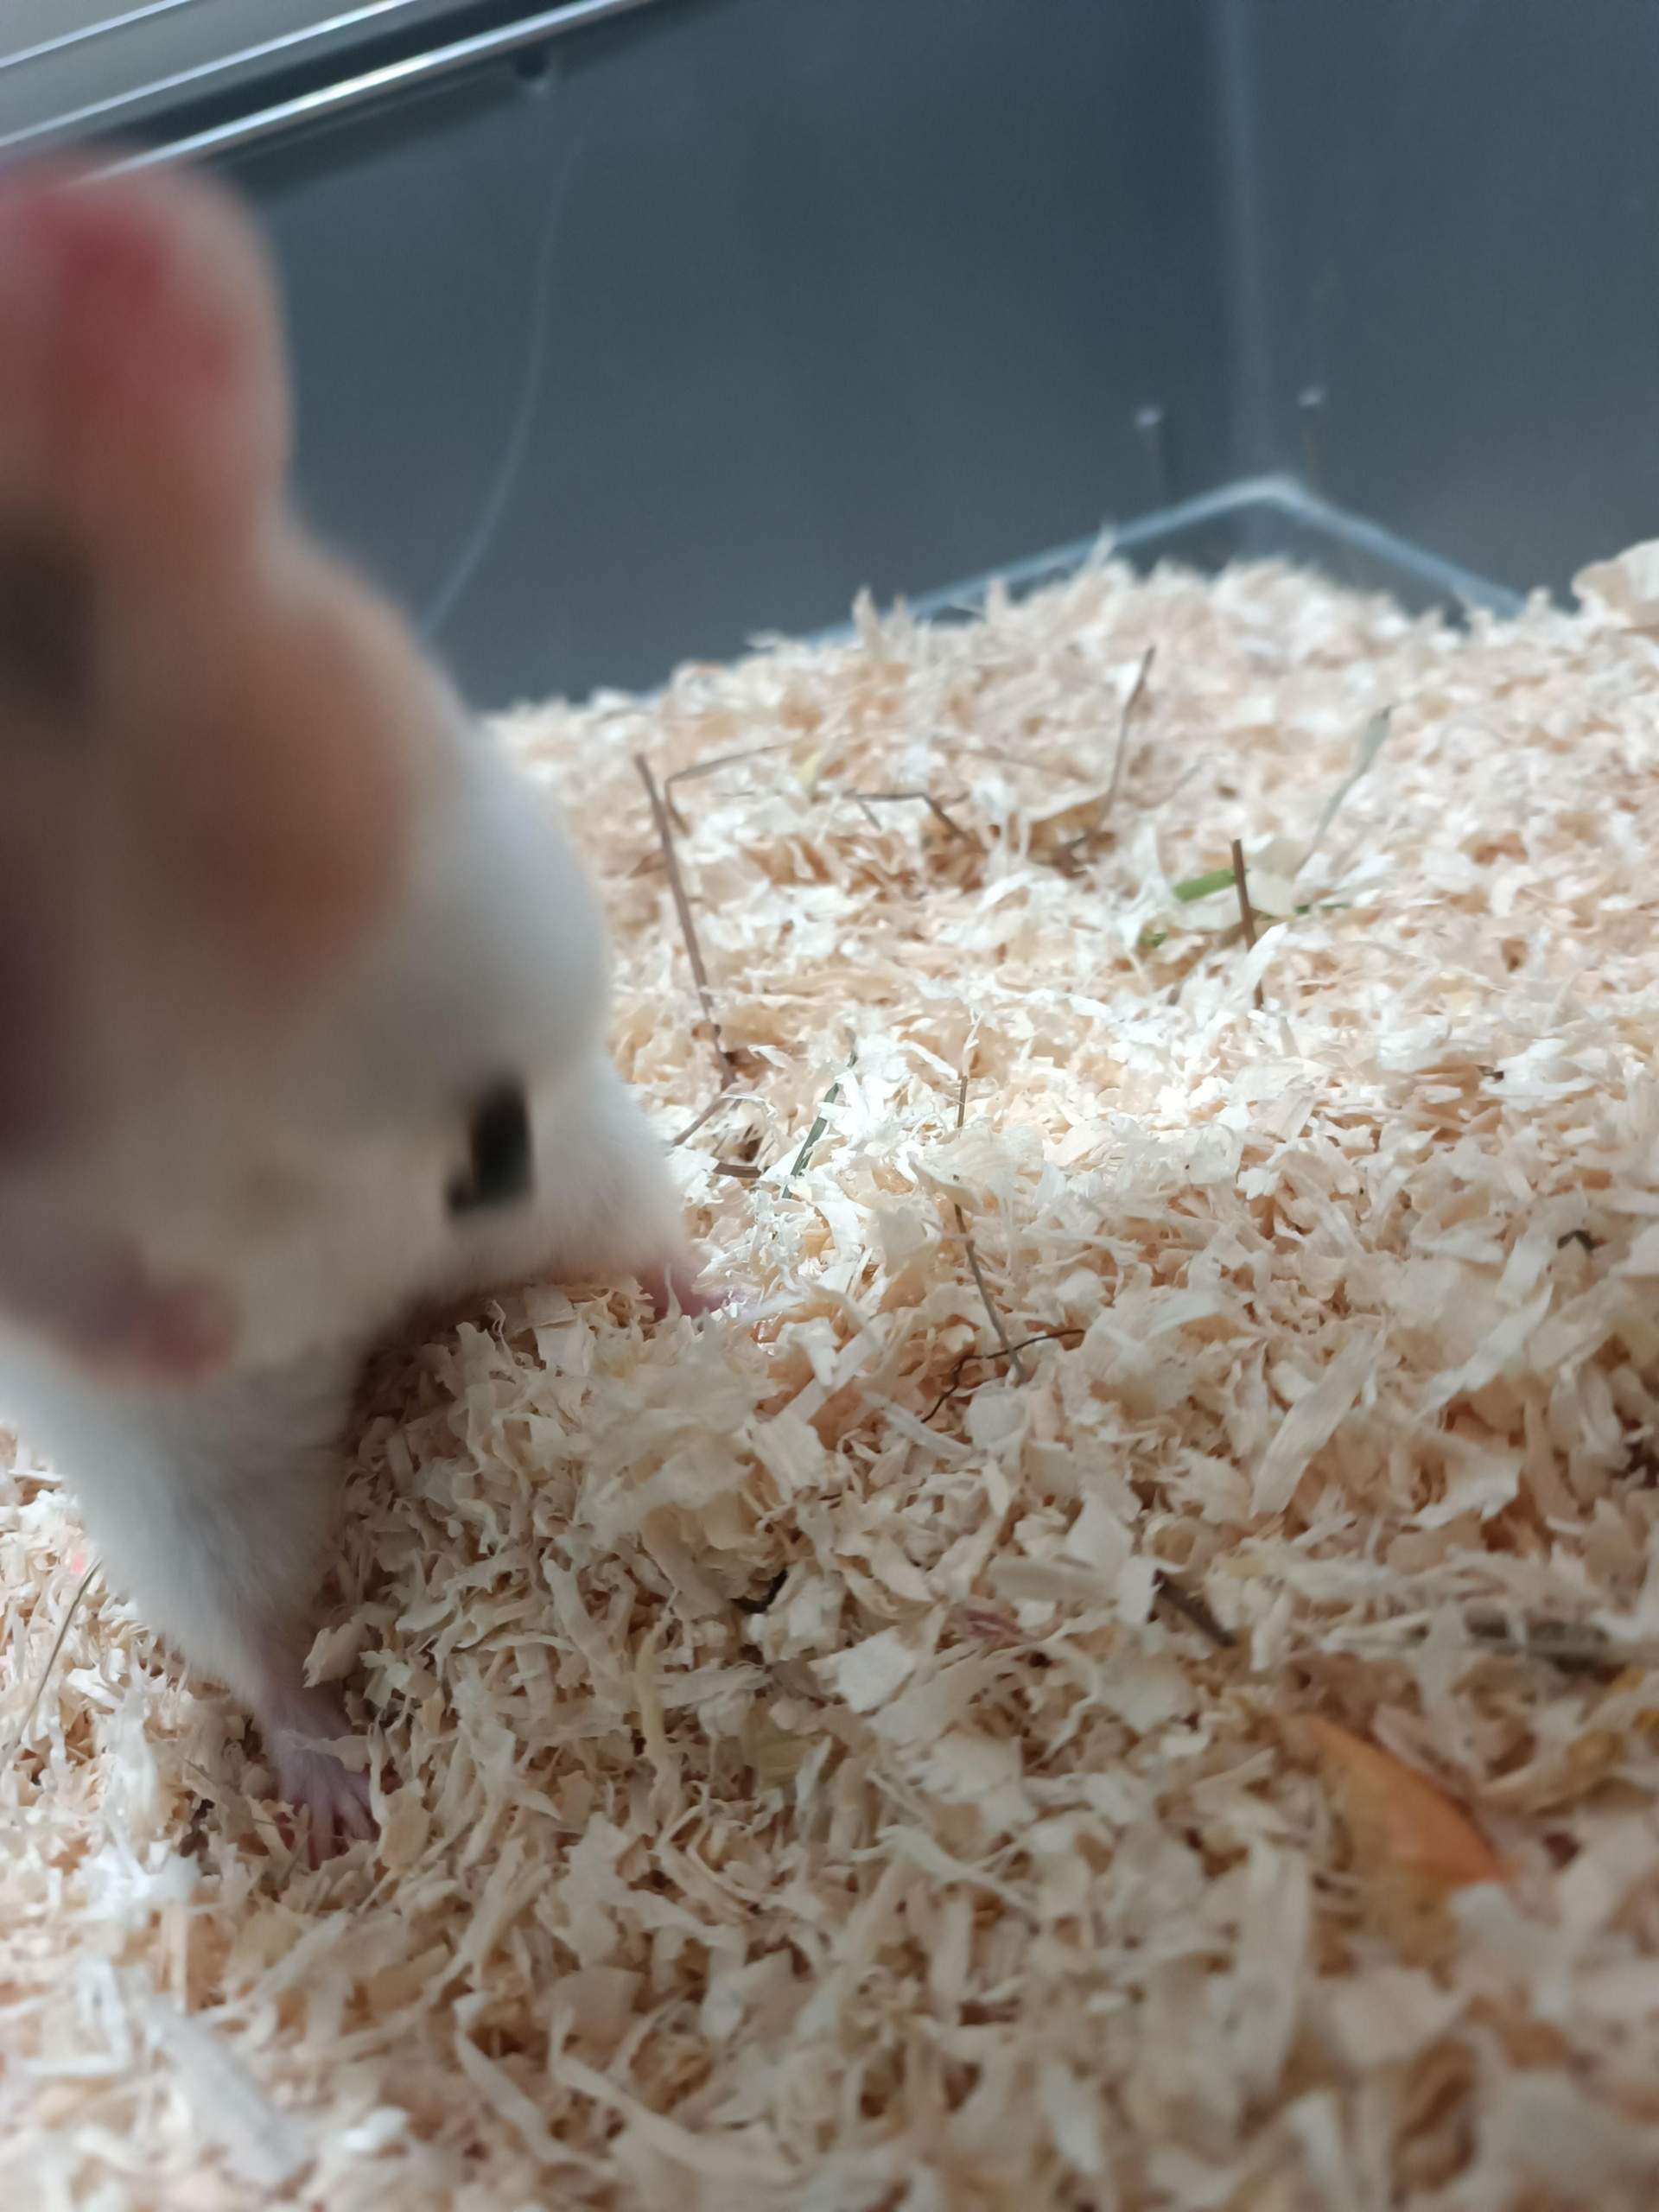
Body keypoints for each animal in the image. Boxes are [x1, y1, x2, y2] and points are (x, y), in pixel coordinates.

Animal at [0, 158, 711, 1855]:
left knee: (644, 1243)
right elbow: (60, 1251)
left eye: (40, 616)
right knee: (264, 1644)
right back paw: (344, 1797)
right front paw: (180, 1317)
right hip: (190, 1509)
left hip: (603, 1171)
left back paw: (725, 1313)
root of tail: (389, 1318)